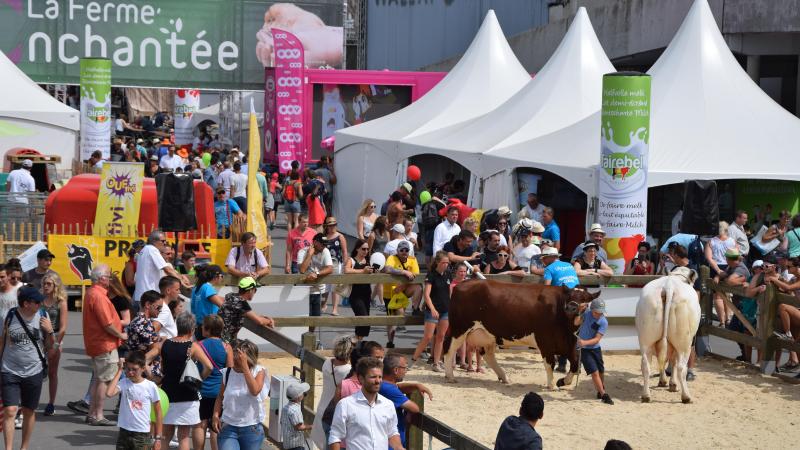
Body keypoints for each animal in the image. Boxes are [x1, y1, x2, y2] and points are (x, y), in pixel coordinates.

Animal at [444, 282, 600, 390]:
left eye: (585, 299)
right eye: (569, 296)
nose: (571, 308)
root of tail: (462, 284)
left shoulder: (571, 343)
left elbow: (575, 364)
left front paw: (563, 381)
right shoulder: (545, 341)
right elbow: (550, 364)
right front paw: (551, 385)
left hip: (488, 336)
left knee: (488, 355)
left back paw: (504, 377)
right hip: (458, 329)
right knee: (449, 350)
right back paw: (450, 376)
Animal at [636, 268, 700, 404]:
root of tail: (668, 286)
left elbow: (664, 360)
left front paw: (663, 381)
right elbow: (673, 362)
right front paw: (673, 385)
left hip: (645, 339)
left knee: (646, 365)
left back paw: (646, 395)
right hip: (684, 343)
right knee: (681, 367)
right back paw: (686, 397)